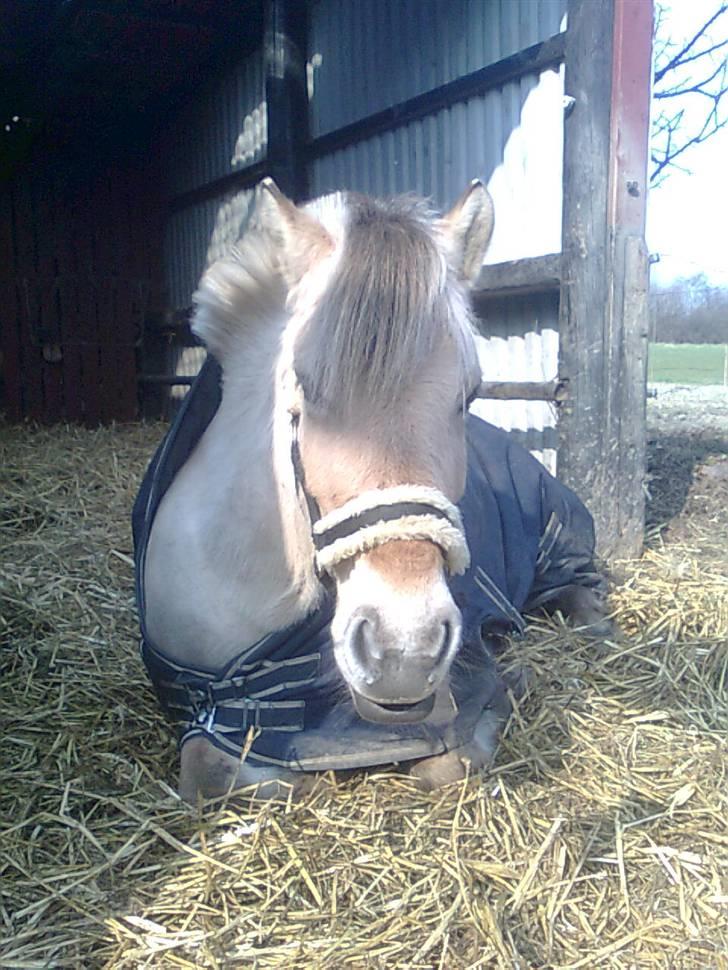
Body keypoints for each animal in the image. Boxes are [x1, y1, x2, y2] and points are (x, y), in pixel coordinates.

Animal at [132, 180, 608, 800]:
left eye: (468, 394)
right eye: (304, 390)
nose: (403, 651)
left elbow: (447, 761)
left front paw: (514, 683)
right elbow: (211, 771)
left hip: (562, 547)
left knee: (584, 592)